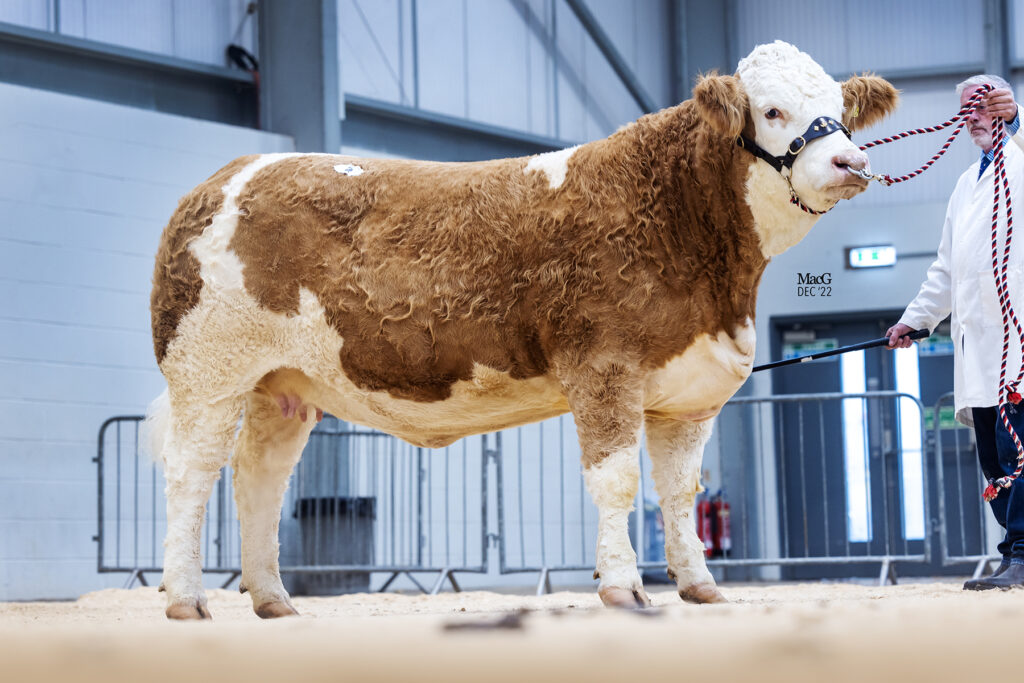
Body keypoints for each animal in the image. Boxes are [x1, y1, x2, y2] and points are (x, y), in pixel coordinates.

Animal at [146, 41, 897, 618]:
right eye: (771, 110)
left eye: (839, 110)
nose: (851, 163)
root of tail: (230, 174)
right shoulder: (603, 366)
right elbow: (618, 481)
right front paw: (623, 589)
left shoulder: (690, 391)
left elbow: (680, 492)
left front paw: (700, 585)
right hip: (210, 371)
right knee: (191, 475)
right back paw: (186, 600)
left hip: (283, 386)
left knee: (258, 479)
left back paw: (274, 600)